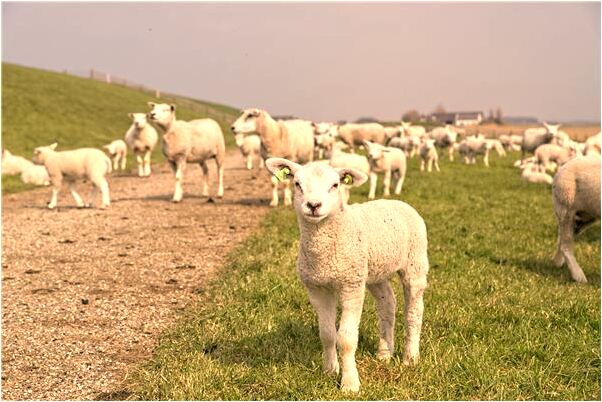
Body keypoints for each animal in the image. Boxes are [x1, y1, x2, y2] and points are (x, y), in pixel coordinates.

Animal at [264, 157, 428, 392]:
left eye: (335, 185)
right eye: (297, 184)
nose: (313, 205)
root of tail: (397, 202)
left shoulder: (351, 287)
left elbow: (346, 339)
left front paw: (349, 383)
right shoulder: (318, 289)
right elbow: (327, 334)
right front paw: (330, 370)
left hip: (415, 261)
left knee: (414, 310)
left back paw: (410, 357)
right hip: (373, 271)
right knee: (387, 303)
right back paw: (384, 353)